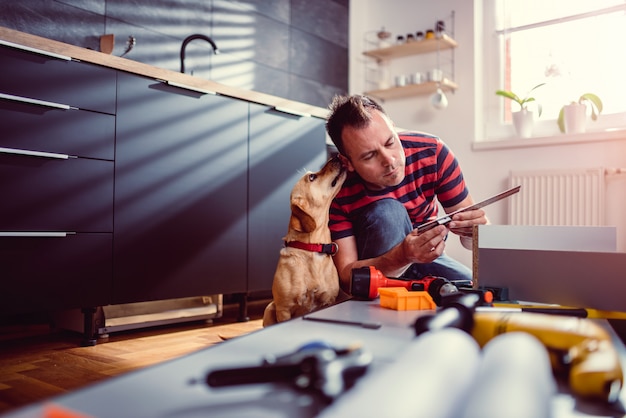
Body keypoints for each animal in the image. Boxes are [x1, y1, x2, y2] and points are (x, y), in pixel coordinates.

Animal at [260, 157, 346, 326]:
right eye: (312, 177)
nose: (336, 156)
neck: (312, 247)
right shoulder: (284, 309)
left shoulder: (329, 300)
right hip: (270, 308)